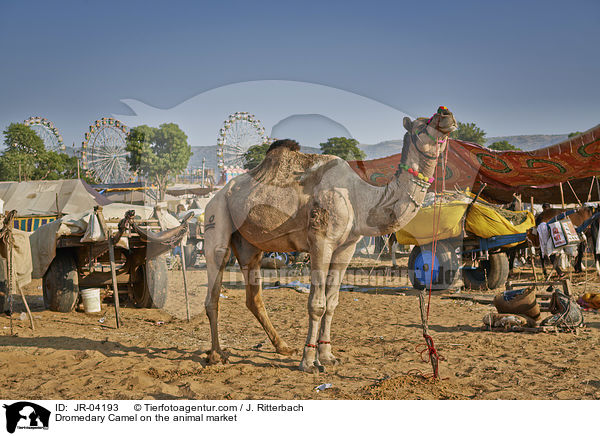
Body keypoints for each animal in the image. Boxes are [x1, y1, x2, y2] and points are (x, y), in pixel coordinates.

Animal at [204, 104, 458, 372]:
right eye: (422, 125)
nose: (446, 114)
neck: (360, 199)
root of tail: (216, 194)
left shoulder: (347, 247)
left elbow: (332, 301)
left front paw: (326, 355)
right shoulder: (320, 241)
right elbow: (317, 304)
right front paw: (308, 361)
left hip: (250, 246)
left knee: (253, 298)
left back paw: (282, 347)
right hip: (216, 220)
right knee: (213, 293)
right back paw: (216, 354)